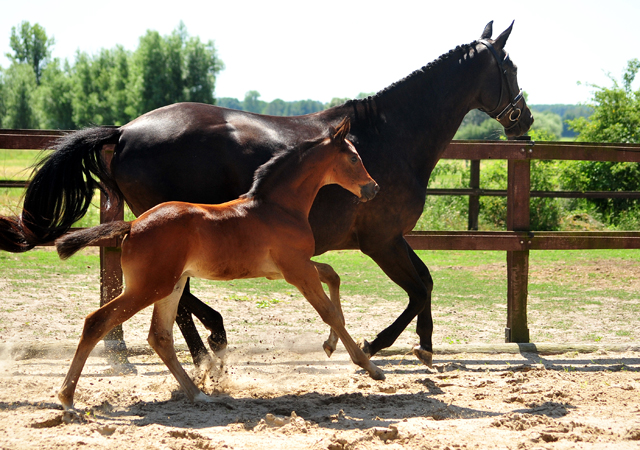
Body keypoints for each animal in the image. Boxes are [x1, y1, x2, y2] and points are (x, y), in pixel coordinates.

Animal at [55, 119, 380, 412]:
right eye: (354, 157)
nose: (372, 188)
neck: (278, 207)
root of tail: (132, 225)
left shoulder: (290, 268)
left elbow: (333, 276)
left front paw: (331, 345)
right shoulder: (296, 270)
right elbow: (329, 312)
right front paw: (369, 366)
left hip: (170, 286)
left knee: (160, 336)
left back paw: (199, 395)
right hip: (149, 287)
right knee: (97, 322)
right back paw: (67, 398)